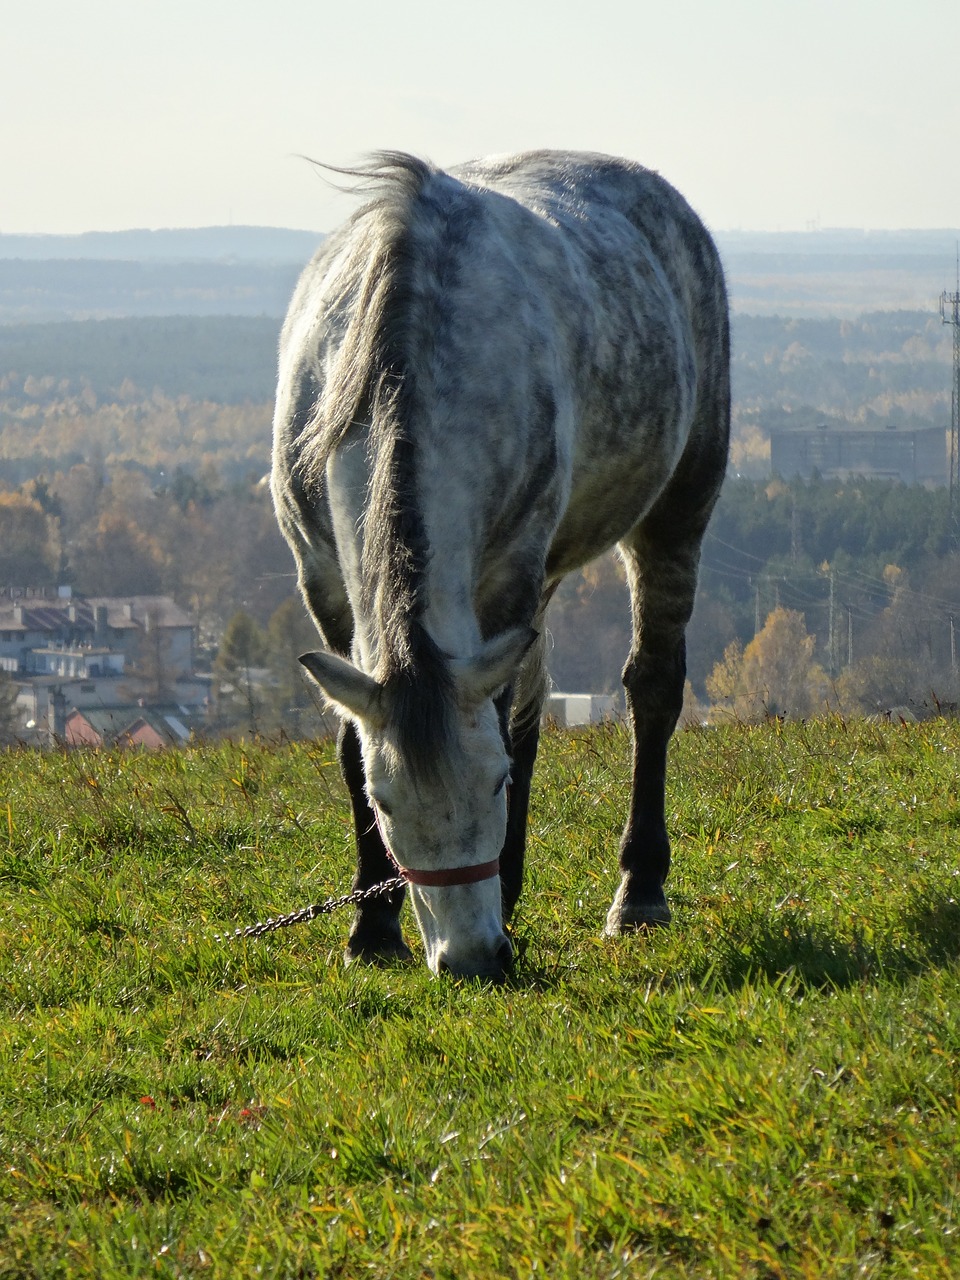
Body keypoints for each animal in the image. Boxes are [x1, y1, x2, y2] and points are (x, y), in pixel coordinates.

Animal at [271, 145, 727, 972]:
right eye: (385, 802)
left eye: (494, 785)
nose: (472, 957)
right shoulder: (323, 581)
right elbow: (353, 743)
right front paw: (371, 927)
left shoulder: (508, 575)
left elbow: (508, 725)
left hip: (677, 512)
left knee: (649, 689)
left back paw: (638, 892)